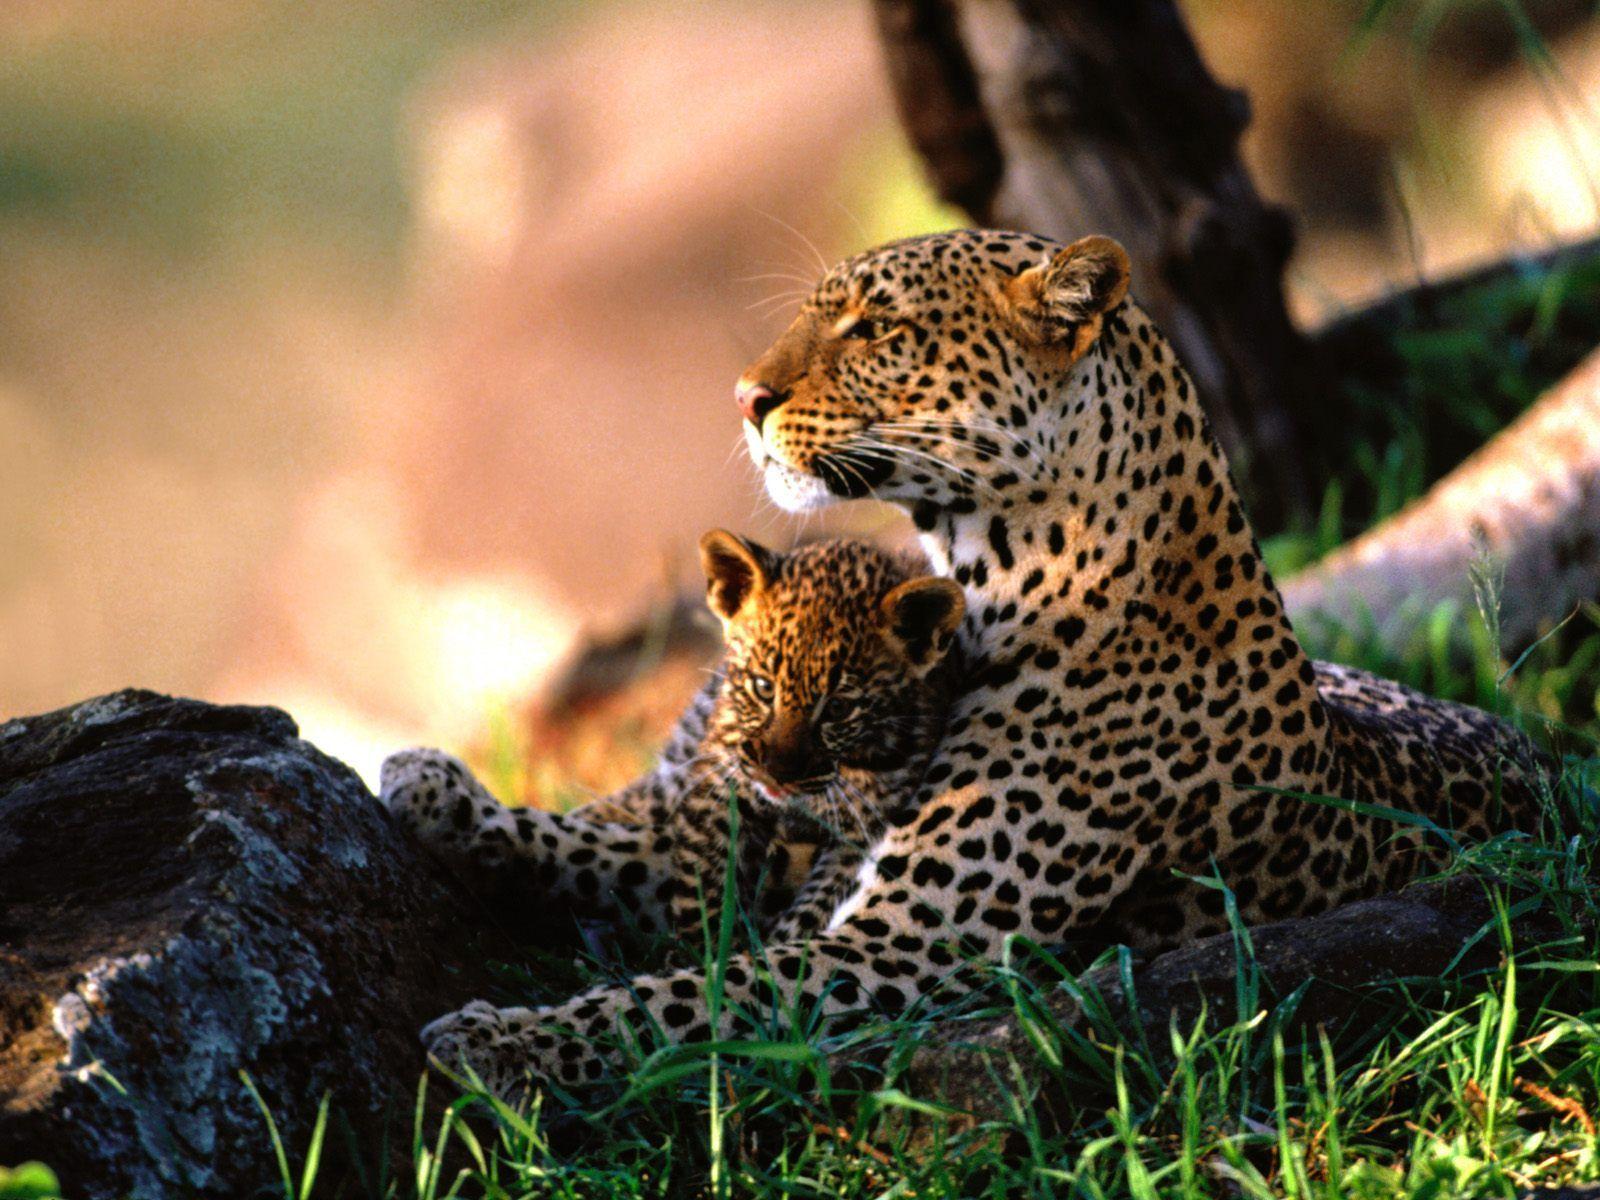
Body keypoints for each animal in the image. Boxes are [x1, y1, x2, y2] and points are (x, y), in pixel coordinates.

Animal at [381, 531, 963, 954]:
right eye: (763, 687)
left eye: (840, 709)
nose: (776, 774)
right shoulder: (694, 781)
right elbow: (605, 832)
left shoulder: (853, 829)